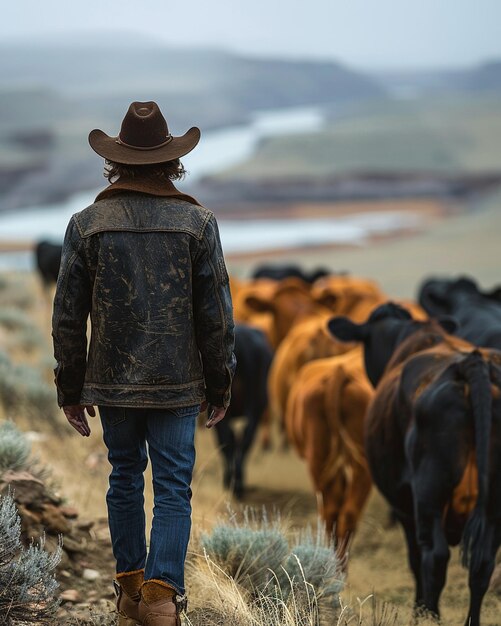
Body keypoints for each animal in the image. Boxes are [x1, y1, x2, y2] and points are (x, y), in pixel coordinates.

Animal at [328, 302, 500, 624]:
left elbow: (415, 559)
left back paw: (429, 614)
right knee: (483, 561)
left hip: (428, 491)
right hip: (493, 502)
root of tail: (472, 364)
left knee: (434, 555)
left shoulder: (404, 505)